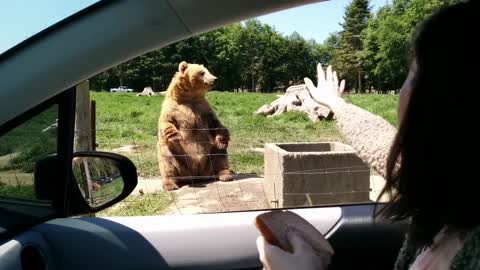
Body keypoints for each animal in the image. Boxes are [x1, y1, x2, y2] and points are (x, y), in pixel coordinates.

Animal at [157, 61, 233, 190]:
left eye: (208, 71)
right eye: (202, 73)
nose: (215, 79)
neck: (190, 97)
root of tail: (196, 175)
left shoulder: (203, 108)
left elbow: (215, 123)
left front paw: (222, 140)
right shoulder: (172, 108)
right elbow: (166, 122)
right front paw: (175, 136)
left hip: (210, 157)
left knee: (220, 155)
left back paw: (225, 174)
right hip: (178, 158)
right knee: (167, 159)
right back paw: (170, 183)